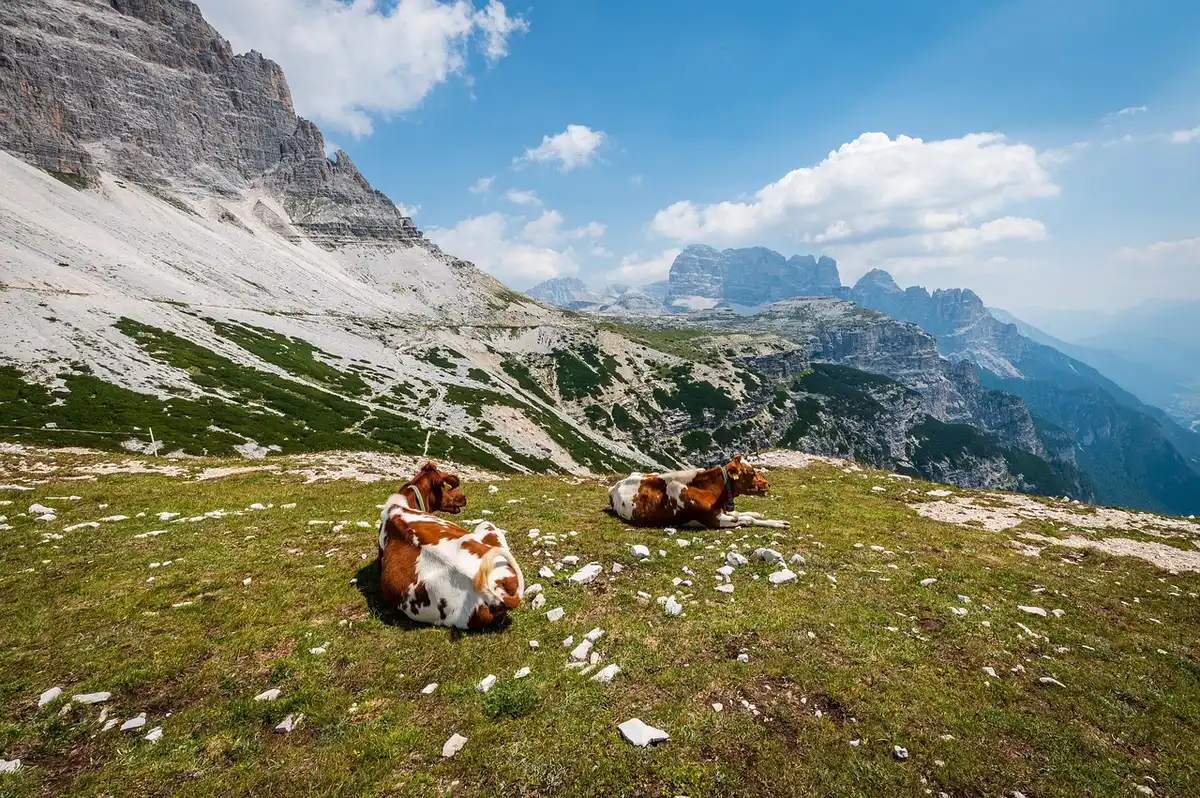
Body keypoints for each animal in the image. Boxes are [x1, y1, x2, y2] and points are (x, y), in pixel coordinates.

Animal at [608, 455, 790, 529]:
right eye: (751, 472)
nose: (767, 484)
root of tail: (615, 485)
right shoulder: (714, 520)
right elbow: (748, 520)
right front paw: (778, 523)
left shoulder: (722, 511)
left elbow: (743, 514)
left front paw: (759, 514)